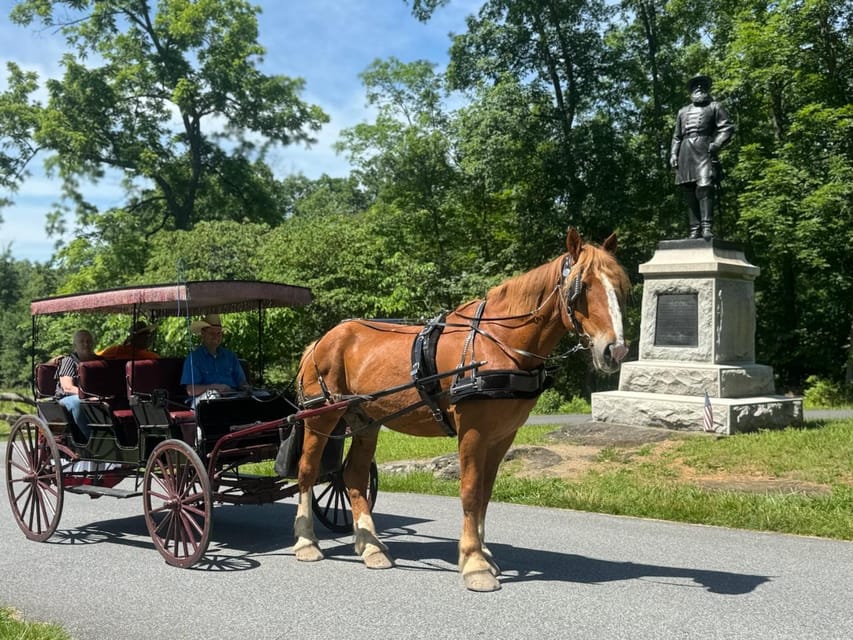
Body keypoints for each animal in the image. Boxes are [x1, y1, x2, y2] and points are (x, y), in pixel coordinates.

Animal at [290, 228, 628, 592]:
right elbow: (469, 491)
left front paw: (481, 554)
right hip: (322, 415)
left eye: (621, 286)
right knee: (308, 471)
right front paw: (474, 563)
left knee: (353, 474)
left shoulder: (502, 435)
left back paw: (371, 546)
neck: (499, 344)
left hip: (367, 419)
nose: (615, 350)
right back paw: (307, 541)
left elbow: (484, 493)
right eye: (582, 287)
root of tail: (322, 340)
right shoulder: (472, 430)